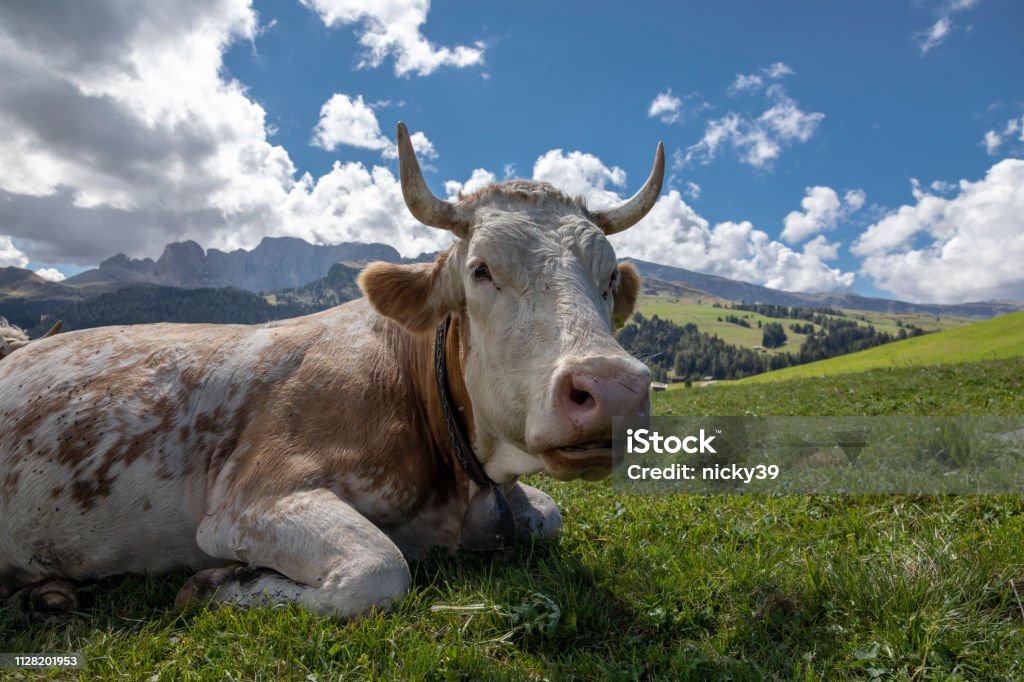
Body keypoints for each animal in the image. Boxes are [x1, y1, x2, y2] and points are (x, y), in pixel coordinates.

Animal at [0, 123, 659, 614]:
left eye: (608, 278)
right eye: (481, 270)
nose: (613, 389)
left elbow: (550, 515)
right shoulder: (254, 497)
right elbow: (379, 570)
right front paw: (215, 585)